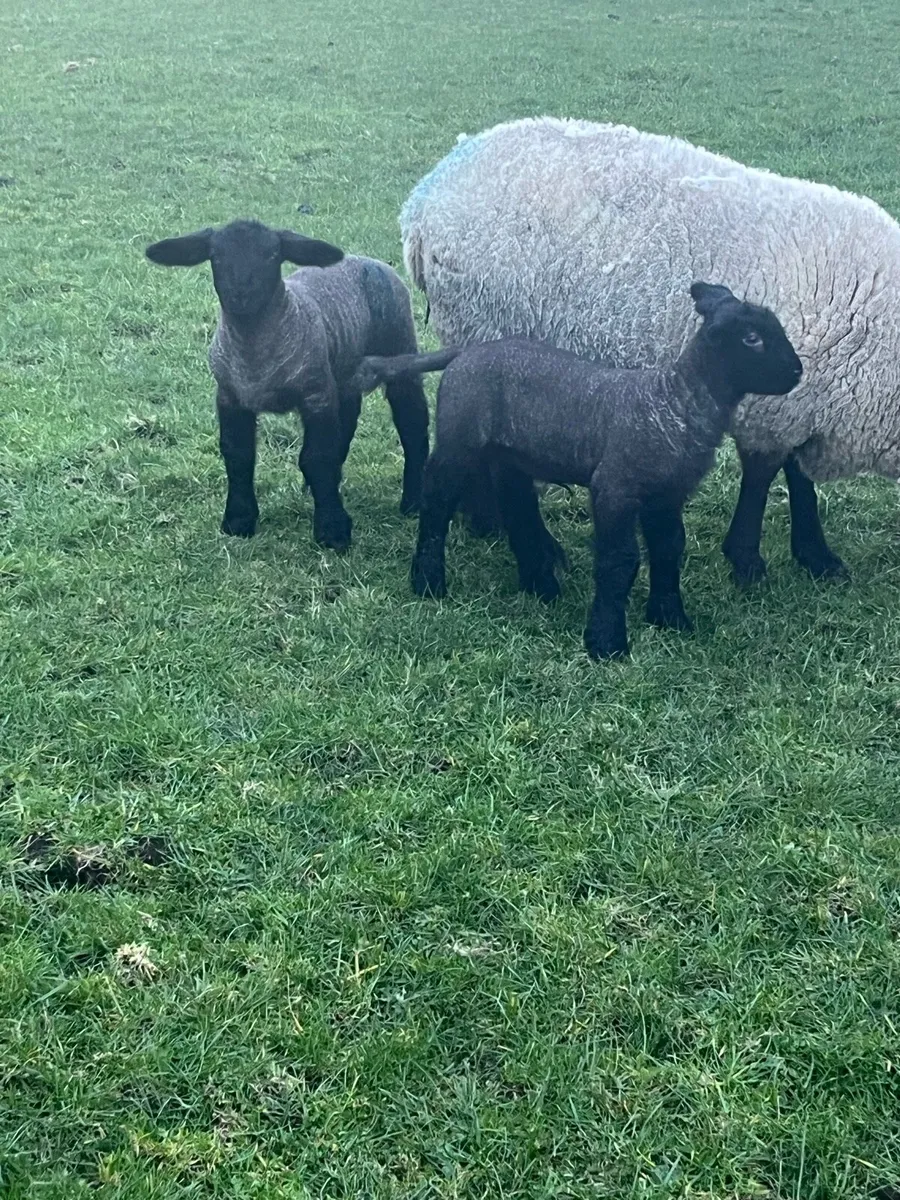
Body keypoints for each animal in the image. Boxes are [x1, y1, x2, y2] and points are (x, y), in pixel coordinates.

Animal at [145, 219, 429, 551]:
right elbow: (238, 455)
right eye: (216, 256)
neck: (255, 354)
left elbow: (318, 457)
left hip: (400, 351)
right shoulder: (230, 397)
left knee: (412, 425)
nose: (241, 295)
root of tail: (365, 259)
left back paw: (413, 501)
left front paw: (332, 530)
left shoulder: (316, 395)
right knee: (348, 420)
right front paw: (238, 520)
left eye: (271, 255)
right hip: (343, 372)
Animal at [354, 283, 802, 659]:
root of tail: (466, 352)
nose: (797, 371)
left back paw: (540, 586)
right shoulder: (615, 487)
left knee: (516, 506)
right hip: (459, 437)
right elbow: (619, 561)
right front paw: (607, 642)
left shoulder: (665, 495)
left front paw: (671, 618)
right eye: (752, 338)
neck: (674, 403)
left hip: (509, 453)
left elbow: (669, 550)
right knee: (437, 502)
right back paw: (429, 582)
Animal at [400, 116, 900, 585]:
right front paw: (748, 560)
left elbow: (796, 476)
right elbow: (765, 476)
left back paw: (487, 523)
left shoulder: (805, 402)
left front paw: (815, 556)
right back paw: (525, 541)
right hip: (480, 328)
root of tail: (423, 199)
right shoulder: (779, 405)